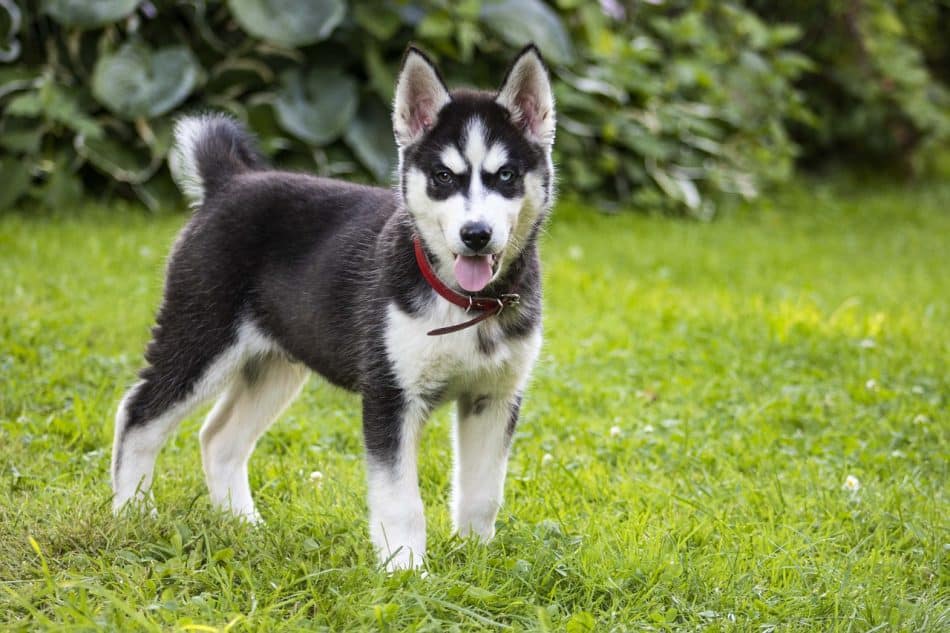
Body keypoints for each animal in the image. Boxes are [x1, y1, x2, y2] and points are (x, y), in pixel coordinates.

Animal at [111, 44, 556, 568]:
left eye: (505, 175)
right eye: (443, 177)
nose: (476, 235)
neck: (468, 304)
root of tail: (230, 181)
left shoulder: (494, 396)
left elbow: (484, 493)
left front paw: (477, 560)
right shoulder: (390, 395)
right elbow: (401, 501)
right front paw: (406, 571)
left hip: (275, 365)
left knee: (218, 438)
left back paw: (245, 526)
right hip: (199, 337)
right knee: (137, 414)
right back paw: (132, 513)